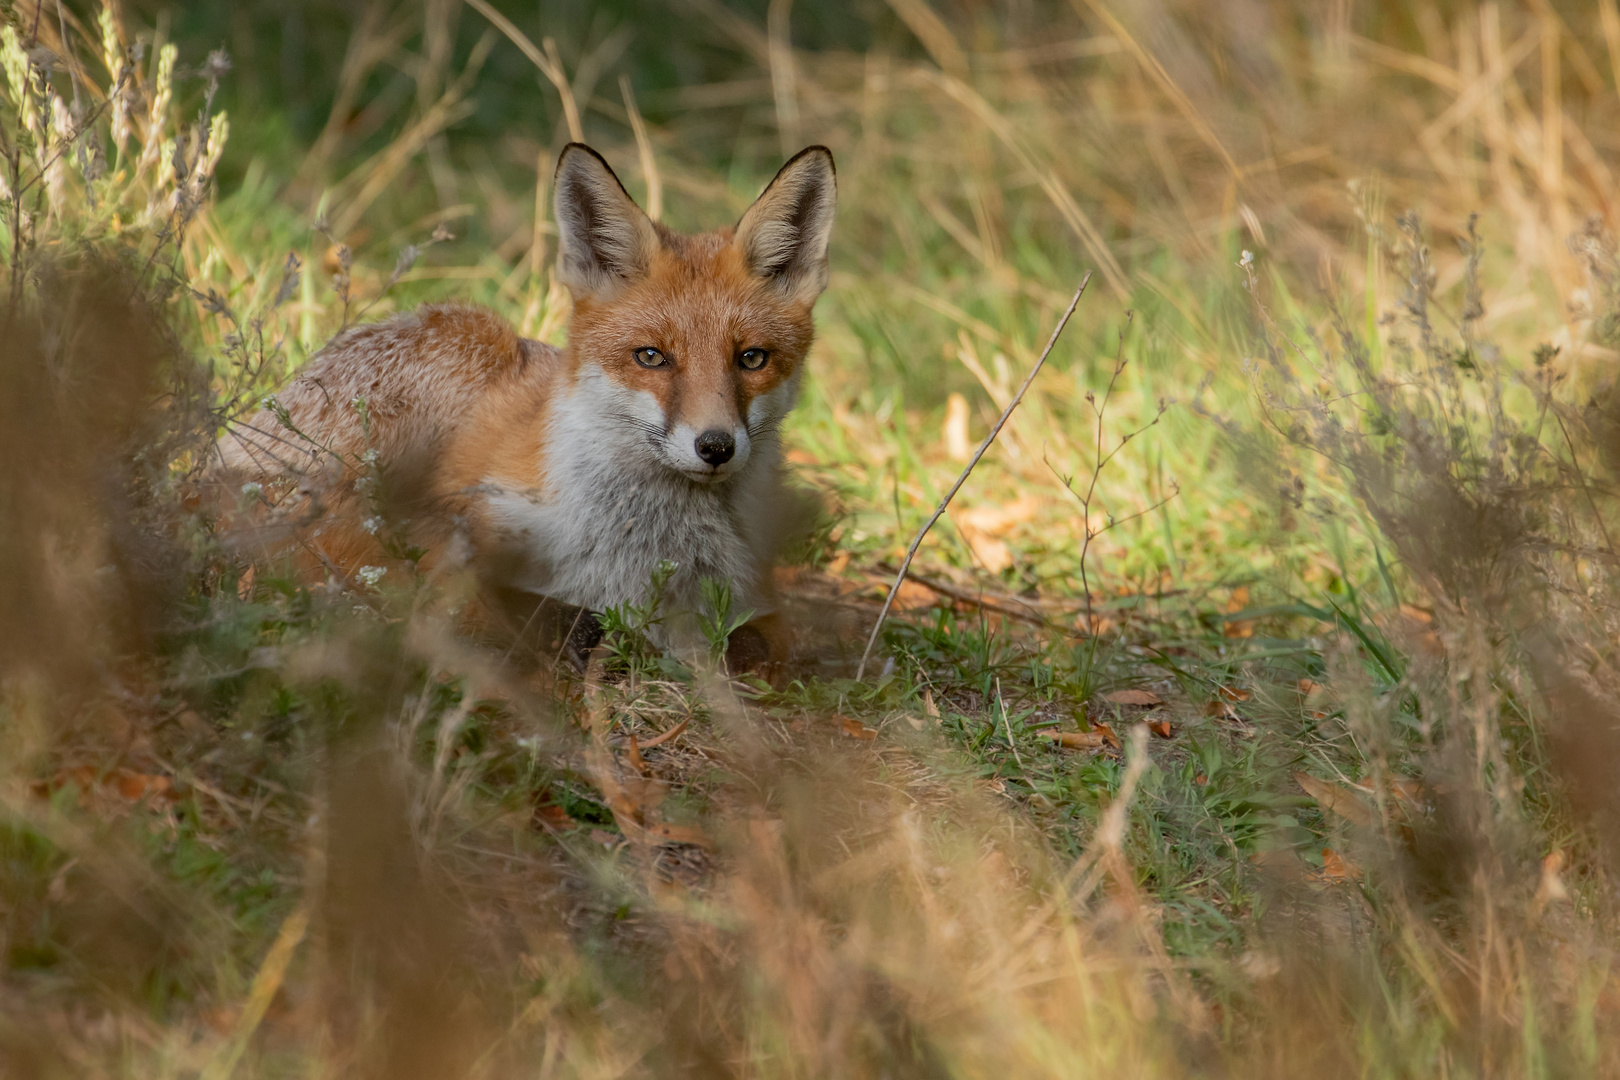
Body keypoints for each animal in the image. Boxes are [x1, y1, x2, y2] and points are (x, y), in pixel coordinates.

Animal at [221, 143, 835, 667]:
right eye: (651, 357)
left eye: (751, 359)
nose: (715, 446)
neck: (642, 554)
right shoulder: (472, 521)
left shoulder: (760, 605)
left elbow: (749, 646)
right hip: (462, 344)